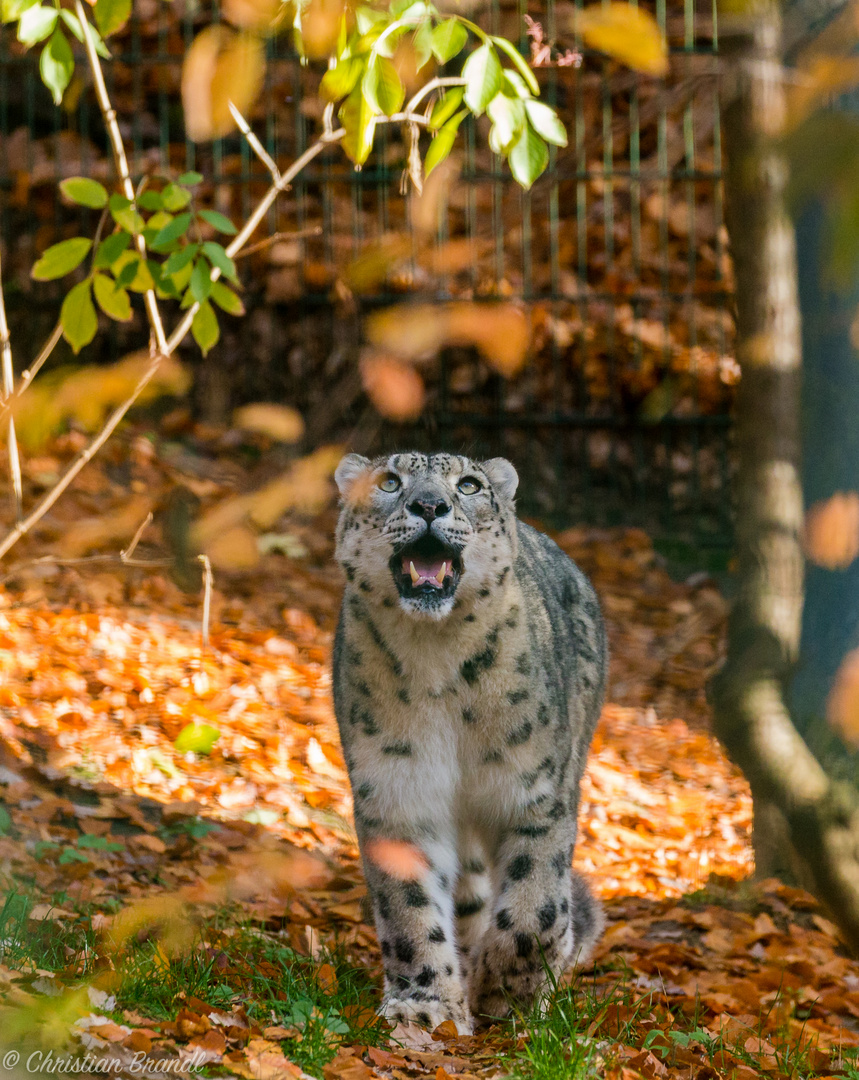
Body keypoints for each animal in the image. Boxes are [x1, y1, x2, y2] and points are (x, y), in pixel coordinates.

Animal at [332, 451, 609, 1032]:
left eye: (468, 485)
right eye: (388, 481)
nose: (429, 505)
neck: (437, 660)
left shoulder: (535, 793)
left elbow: (533, 905)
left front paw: (506, 995)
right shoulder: (398, 793)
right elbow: (410, 909)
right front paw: (427, 1007)